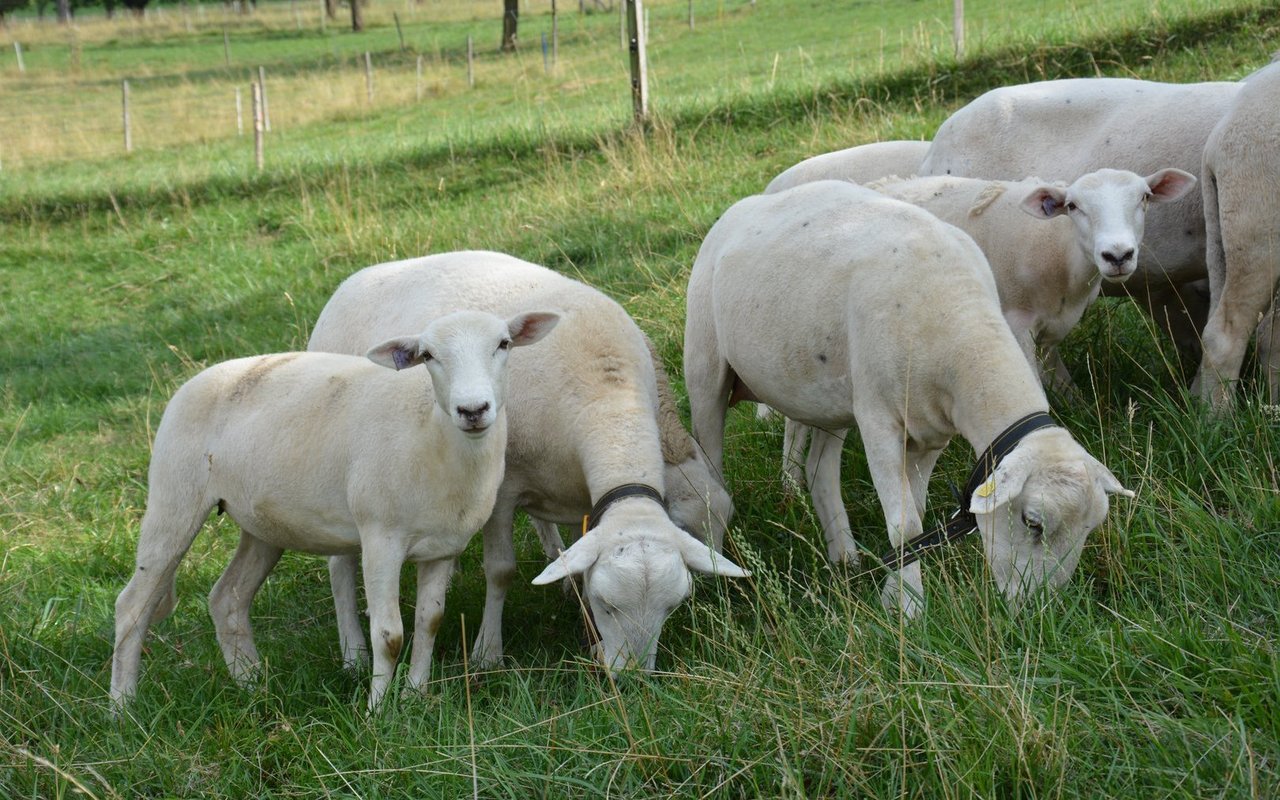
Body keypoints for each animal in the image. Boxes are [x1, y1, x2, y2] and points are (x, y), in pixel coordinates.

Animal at [110, 310, 560, 711]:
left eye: (503, 343)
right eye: (428, 355)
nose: (473, 410)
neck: (431, 435)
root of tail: (194, 380)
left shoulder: (442, 547)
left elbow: (429, 622)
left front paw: (416, 696)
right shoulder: (380, 538)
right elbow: (389, 635)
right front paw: (377, 713)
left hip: (262, 524)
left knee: (228, 598)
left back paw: (253, 685)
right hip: (174, 496)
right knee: (132, 605)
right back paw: (123, 707)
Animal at [305, 251, 748, 677]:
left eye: (671, 607)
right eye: (607, 604)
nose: (633, 677)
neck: (609, 398)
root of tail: (350, 282)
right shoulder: (501, 492)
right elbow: (500, 571)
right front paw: (487, 654)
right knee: (339, 565)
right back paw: (354, 653)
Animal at [685, 180, 1133, 615]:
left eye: (1090, 529)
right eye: (1032, 522)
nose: (1041, 610)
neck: (960, 326)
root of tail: (743, 206)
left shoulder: (932, 430)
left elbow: (914, 516)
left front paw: (892, 593)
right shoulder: (879, 421)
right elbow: (905, 525)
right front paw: (910, 608)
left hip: (829, 396)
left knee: (819, 470)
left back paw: (844, 556)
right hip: (705, 367)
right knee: (711, 463)